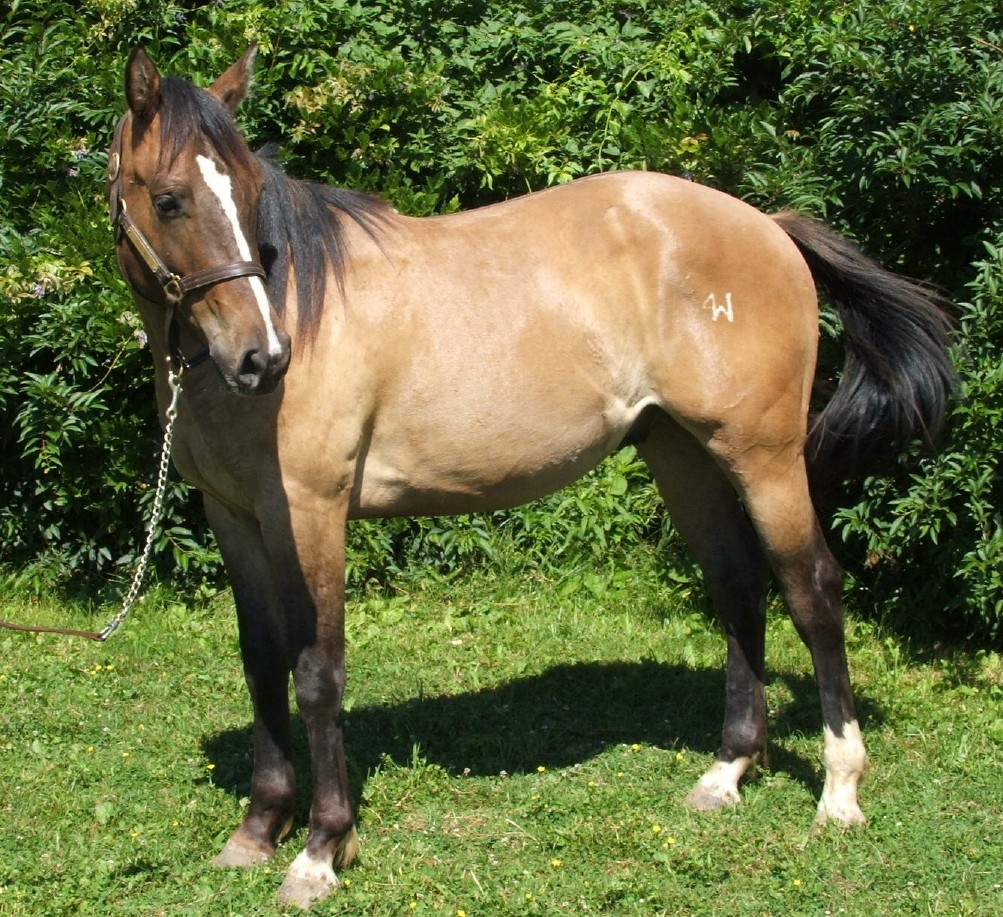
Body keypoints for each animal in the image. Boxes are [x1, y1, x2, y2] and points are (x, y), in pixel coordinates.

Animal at [107, 45, 954, 907]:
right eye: (171, 200)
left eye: (251, 193)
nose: (264, 358)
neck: (300, 309)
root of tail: (767, 227)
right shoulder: (235, 516)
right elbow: (260, 661)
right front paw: (255, 830)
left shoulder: (310, 512)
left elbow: (316, 671)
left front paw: (319, 850)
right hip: (682, 455)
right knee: (737, 589)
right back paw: (724, 774)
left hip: (764, 456)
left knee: (811, 590)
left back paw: (838, 792)